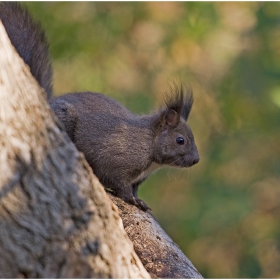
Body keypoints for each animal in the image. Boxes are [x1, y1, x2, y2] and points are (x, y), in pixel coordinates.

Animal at [1, 2, 200, 211]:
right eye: (180, 140)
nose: (196, 160)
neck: (149, 144)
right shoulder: (117, 159)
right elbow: (119, 183)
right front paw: (132, 199)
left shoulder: (138, 179)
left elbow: (133, 188)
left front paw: (140, 200)